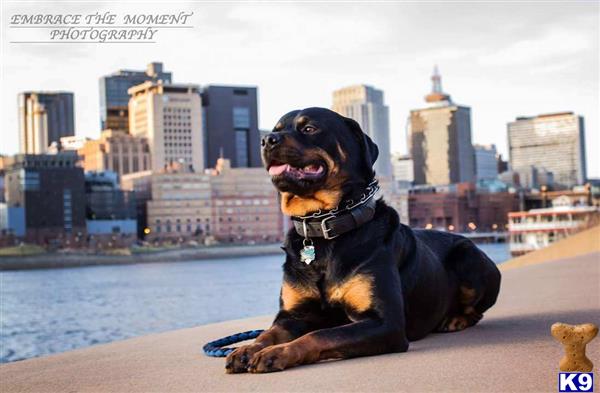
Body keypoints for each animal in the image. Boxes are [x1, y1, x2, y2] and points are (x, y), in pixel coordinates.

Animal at [225, 107, 502, 374]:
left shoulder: (385, 323)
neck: (323, 228)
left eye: (309, 128)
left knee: (476, 311)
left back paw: (455, 319)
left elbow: (320, 335)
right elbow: (269, 333)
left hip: (469, 257)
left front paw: (278, 353)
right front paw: (247, 349)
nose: (267, 140)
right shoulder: (292, 316)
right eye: (276, 129)